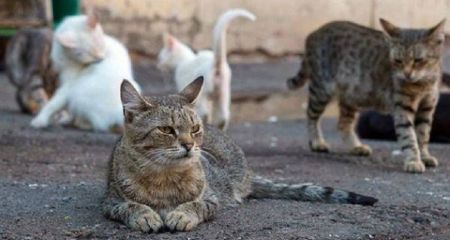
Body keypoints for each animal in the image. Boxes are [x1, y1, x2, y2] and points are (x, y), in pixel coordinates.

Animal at [102, 76, 376, 232]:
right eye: (166, 130)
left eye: (195, 129)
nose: (189, 145)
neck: (165, 177)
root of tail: (248, 173)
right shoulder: (111, 202)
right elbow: (130, 206)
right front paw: (145, 215)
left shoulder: (211, 199)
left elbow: (196, 204)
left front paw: (180, 213)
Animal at [286, 18, 444, 172]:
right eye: (398, 61)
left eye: (418, 60)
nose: (407, 74)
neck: (423, 83)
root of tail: (314, 33)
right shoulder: (402, 108)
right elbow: (409, 136)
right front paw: (413, 161)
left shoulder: (427, 107)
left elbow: (423, 134)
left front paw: (424, 156)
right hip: (322, 89)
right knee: (311, 116)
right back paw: (317, 142)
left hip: (351, 97)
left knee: (343, 124)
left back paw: (356, 146)